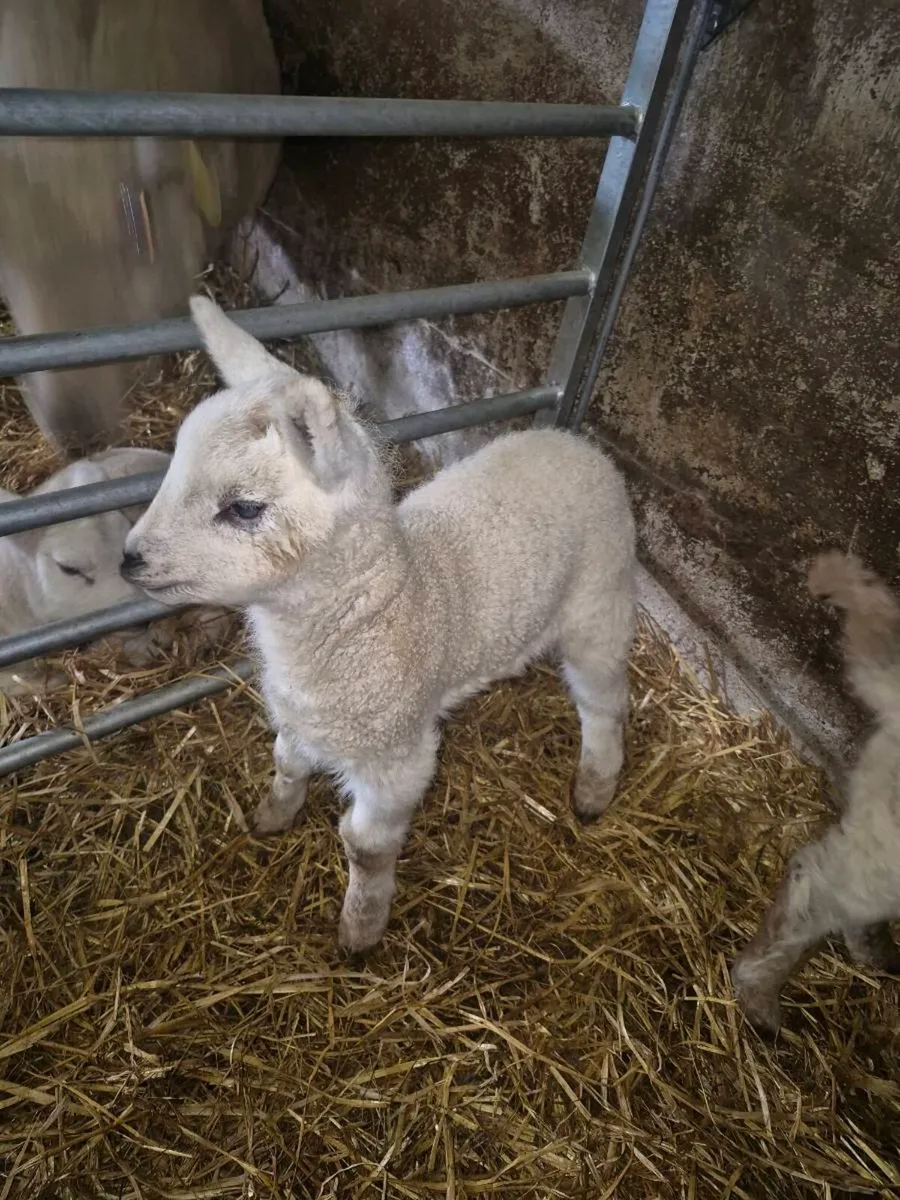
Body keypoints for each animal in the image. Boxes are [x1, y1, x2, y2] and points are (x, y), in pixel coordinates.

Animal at [122, 297, 637, 951]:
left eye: (243, 508)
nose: (129, 560)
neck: (382, 605)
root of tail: (576, 443)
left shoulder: (397, 757)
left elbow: (365, 848)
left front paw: (360, 930)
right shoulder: (304, 714)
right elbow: (287, 764)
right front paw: (272, 817)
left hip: (601, 599)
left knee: (604, 699)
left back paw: (595, 787)